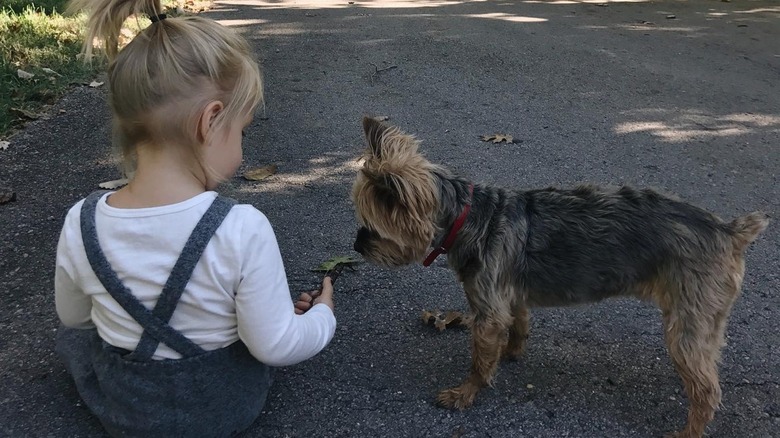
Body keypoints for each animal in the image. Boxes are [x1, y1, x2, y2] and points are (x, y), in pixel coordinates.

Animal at [352, 116, 768, 438]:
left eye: (370, 226)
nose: (357, 245)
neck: (469, 216)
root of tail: (728, 231)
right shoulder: (511, 297)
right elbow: (517, 326)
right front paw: (511, 353)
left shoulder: (487, 312)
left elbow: (479, 360)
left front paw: (465, 393)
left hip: (686, 322)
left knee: (707, 390)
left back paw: (688, 430)